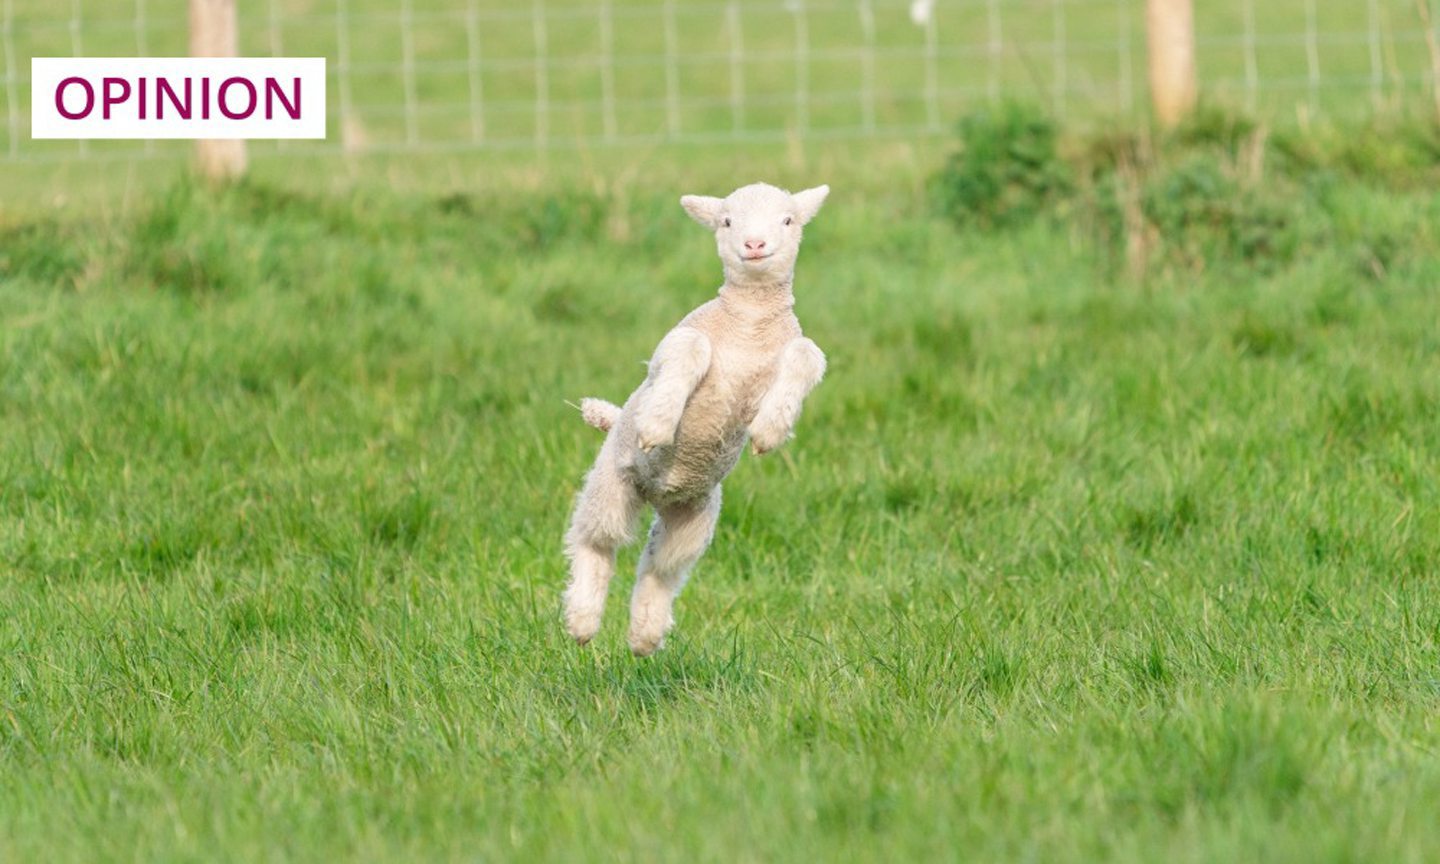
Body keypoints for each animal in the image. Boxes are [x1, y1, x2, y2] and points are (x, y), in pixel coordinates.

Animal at [561, 180, 835, 653]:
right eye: (726, 221)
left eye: (787, 220)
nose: (754, 244)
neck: (748, 327)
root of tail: (657, 493)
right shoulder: (677, 343)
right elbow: (691, 346)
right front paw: (657, 423)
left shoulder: (785, 356)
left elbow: (806, 354)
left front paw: (770, 430)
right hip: (612, 482)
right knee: (595, 541)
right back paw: (582, 620)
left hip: (694, 516)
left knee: (660, 567)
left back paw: (644, 636)